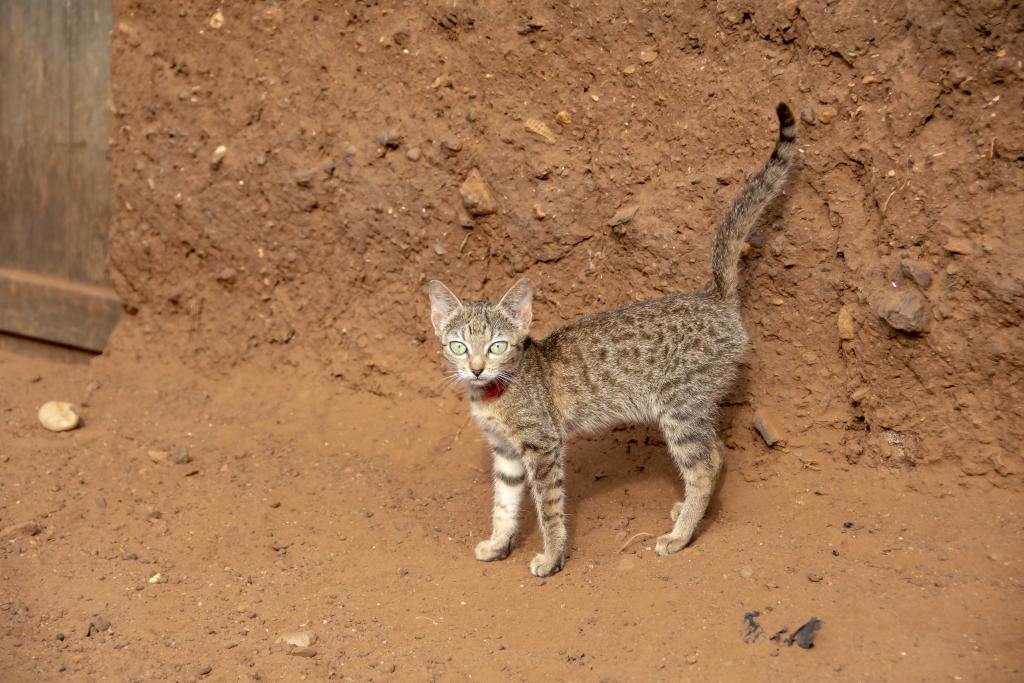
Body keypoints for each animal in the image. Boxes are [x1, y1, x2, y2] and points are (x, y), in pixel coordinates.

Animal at [428, 104, 794, 573]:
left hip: (679, 407)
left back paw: (680, 535)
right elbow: (503, 505)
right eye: (458, 346)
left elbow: (549, 508)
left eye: (497, 346)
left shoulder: (542, 446)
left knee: (703, 464)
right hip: (694, 406)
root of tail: (716, 298)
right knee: (716, 452)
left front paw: (552, 556)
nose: (476, 368)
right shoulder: (506, 454)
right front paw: (497, 543)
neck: (493, 395)